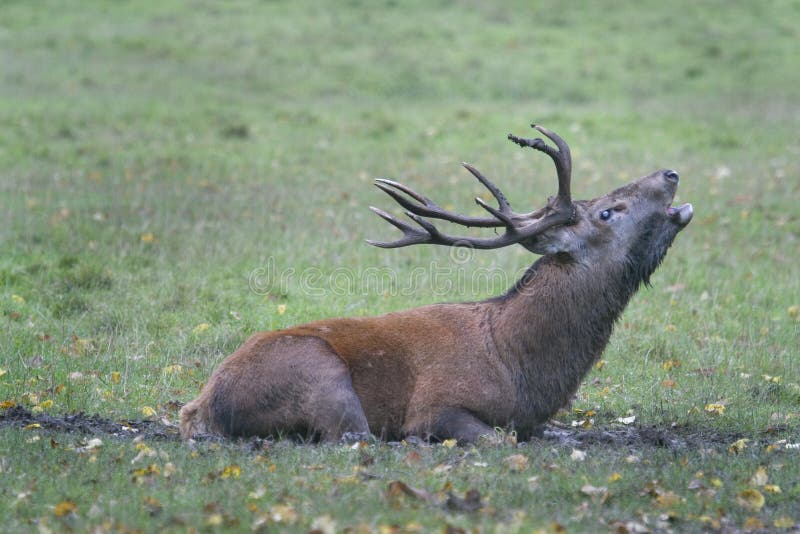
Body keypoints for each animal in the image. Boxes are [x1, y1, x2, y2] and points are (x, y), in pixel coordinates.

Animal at [178, 124, 692, 444]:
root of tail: (201, 407)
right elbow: (496, 440)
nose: (671, 172)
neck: (522, 370)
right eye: (607, 212)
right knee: (352, 435)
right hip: (318, 372)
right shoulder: (436, 406)